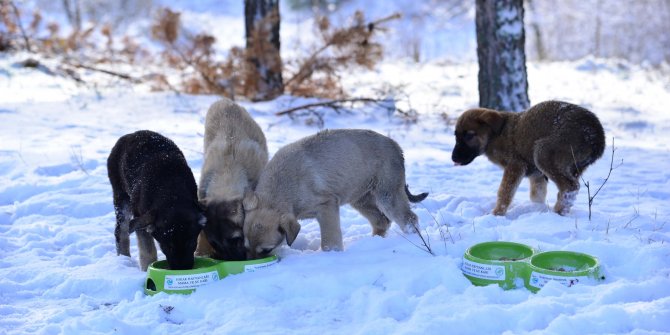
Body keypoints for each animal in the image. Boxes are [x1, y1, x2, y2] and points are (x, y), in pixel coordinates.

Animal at [107, 130, 206, 272]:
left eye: (192, 243)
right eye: (167, 246)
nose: (182, 269)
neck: (171, 193)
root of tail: (130, 134)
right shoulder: (140, 217)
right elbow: (148, 250)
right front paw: (146, 269)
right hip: (121, 195)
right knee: (121, 231)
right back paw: (124, 259)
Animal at [244, 129, 428, 260]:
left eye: (266, 250)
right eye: (245, 245)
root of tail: (397, 147)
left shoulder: (327, 206)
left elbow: (329, 240)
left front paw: (331, 254)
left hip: (387, 194)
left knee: (408, 219)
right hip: (361, 199)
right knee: (381, 221)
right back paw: (373, 242)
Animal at [452, 100, 608, 215]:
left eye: (469, 135)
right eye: (456, 136)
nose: (453, 158)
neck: (496, 136)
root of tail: (597, 136)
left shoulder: (515, 165)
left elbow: (505, 192)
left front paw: (497, 213)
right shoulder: (536, 174)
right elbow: (537, 195)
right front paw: (536, 209)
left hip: (543, 153)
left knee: (570, 186)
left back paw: (556, 213)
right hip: (573, 167)